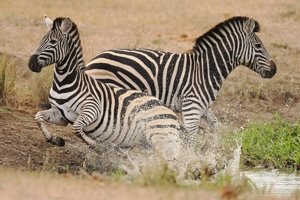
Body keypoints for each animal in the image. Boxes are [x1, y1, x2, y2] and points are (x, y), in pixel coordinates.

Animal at [28, 16, 183, 170]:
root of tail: (171, 114)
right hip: (149, 141)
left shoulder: (92, 108)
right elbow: (38, 116)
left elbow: (77, 128)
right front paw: (55, 139)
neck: (63, 82)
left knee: (174, 160)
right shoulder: (60, 115)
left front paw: (97, 146)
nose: (31, 64)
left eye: (53, 42)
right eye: (41, 40)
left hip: (161, 136)